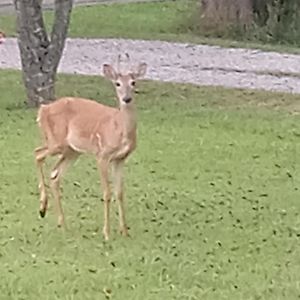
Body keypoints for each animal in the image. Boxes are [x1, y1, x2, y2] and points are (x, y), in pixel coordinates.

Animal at [34, 54, 147, 240]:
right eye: (117, 83)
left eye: (133, 82)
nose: (126, 99)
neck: (120, 128)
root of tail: (42, 110)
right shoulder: (102, 155)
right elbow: (107, 193)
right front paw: (107, 233)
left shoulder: (120, 159)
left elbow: (120, 193)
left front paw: (124, 232)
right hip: (56, 142)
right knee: (37, 154)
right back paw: (42, 207)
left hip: (72, 151)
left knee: (55, 175)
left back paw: (62, 224)